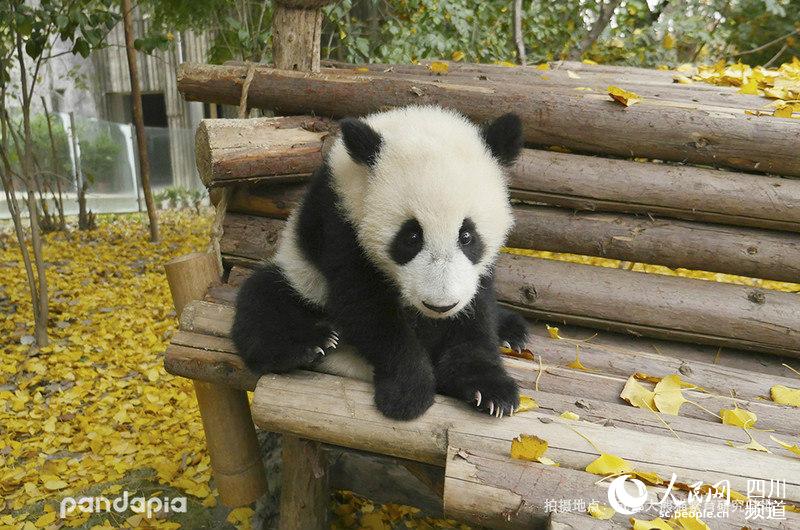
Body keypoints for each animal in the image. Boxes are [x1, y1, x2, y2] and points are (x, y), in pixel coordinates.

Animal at [231, 105, 529, 421]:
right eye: (411, 237)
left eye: (467, 236)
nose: (440, 305)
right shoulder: (341, 223)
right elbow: (367, 308)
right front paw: (408, 393)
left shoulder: (474, 275)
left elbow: (475, 315)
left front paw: (490, 390)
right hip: (300, 275)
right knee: (262, 300)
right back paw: (310, 344)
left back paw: (511, 330)